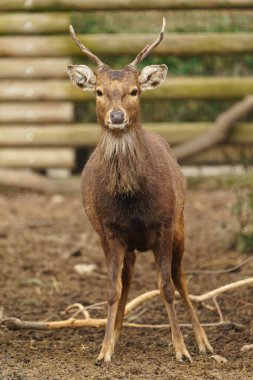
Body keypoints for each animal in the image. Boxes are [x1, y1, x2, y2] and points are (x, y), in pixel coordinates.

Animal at [67, 18, 213, 366]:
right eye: (99, 91)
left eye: (134, 91)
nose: (117, 116)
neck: (131, 202)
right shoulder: (108, 231)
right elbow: (112, 289)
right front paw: (104, 351)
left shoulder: (165, 224)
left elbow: (166, 287)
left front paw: (181, 350)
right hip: (127, 243)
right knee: (127, 279)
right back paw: (117, 334)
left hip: (181, 223)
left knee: (180, 276)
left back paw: (204, 342)